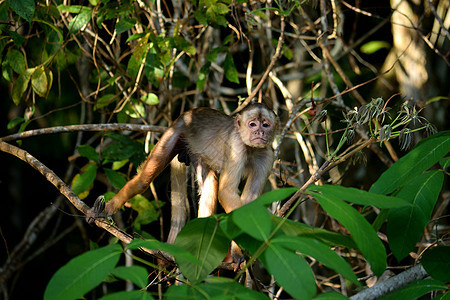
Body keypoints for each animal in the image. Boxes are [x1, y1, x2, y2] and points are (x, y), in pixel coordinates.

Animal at [87, 102, 278, 264]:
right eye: (252, 124)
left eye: (265, 125)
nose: (260, 133)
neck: (250, 148)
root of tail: (189, 112)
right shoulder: (236, 147)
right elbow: (227, 192)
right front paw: (240, 250)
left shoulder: (267, 155)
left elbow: (250, 202)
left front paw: (244, 246)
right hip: (177, 131)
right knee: (144, 180)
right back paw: (109, 207)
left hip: (194, 150)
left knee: (209, 184)